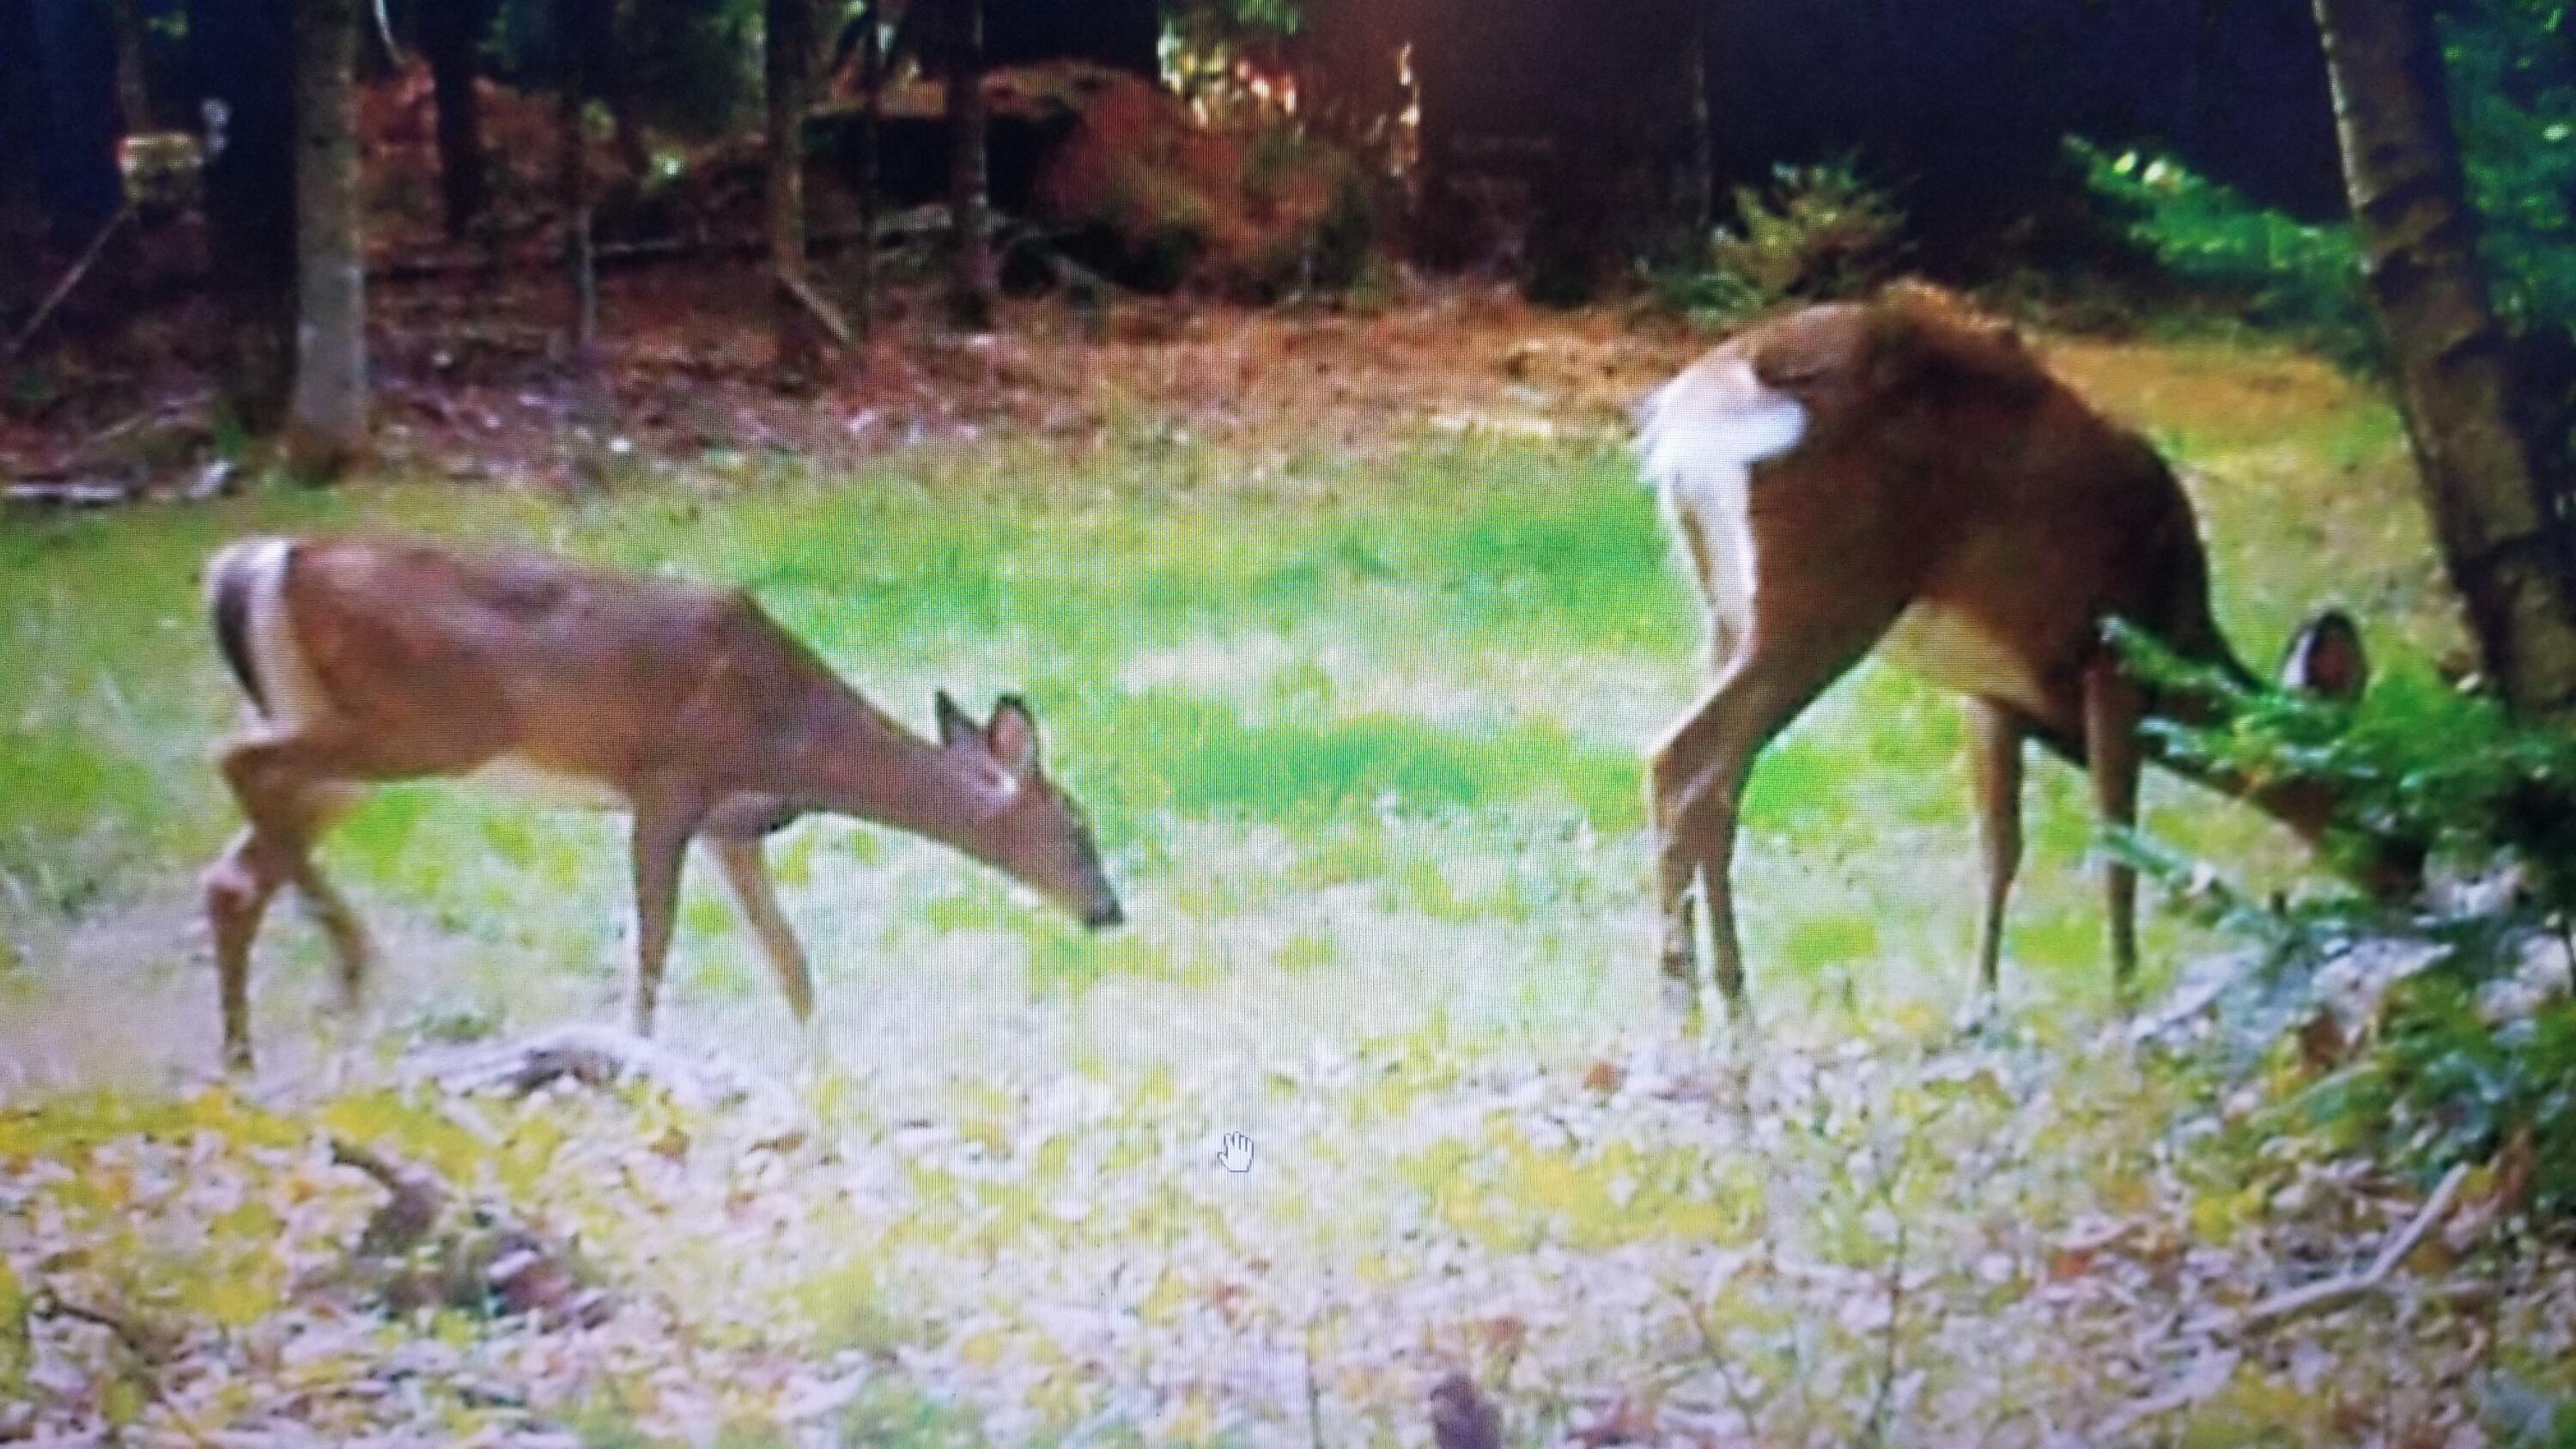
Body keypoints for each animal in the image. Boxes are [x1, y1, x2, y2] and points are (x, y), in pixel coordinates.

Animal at [199, 534, 1123, 1070]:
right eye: (1077, 828)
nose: (1109, 911)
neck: (792, 737)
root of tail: (256, 563)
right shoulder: (668, 785)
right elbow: (654, 941)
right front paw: (636, 1054)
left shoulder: (729, 824)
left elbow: (789, 958)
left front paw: (821, 1069)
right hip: (428, 728)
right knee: (237, 766)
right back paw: (348, 962)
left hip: (349, 738)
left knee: (233, 872)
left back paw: (249, 1048)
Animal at [1635, 281, 2409, 1028]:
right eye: (2377, 800)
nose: (2408, 882)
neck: (2181, 643)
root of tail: (1690, 410)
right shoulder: (2113, 653)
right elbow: (2116, 840)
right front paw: (2126, 998)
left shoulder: (1989, 695)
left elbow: (1999, 849)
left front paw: (1980, 1005)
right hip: (1824, 598)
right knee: (1684, 759)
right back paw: (1693, 1017)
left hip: (1723, 610)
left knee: (1720, 782)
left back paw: (1731, 1014)